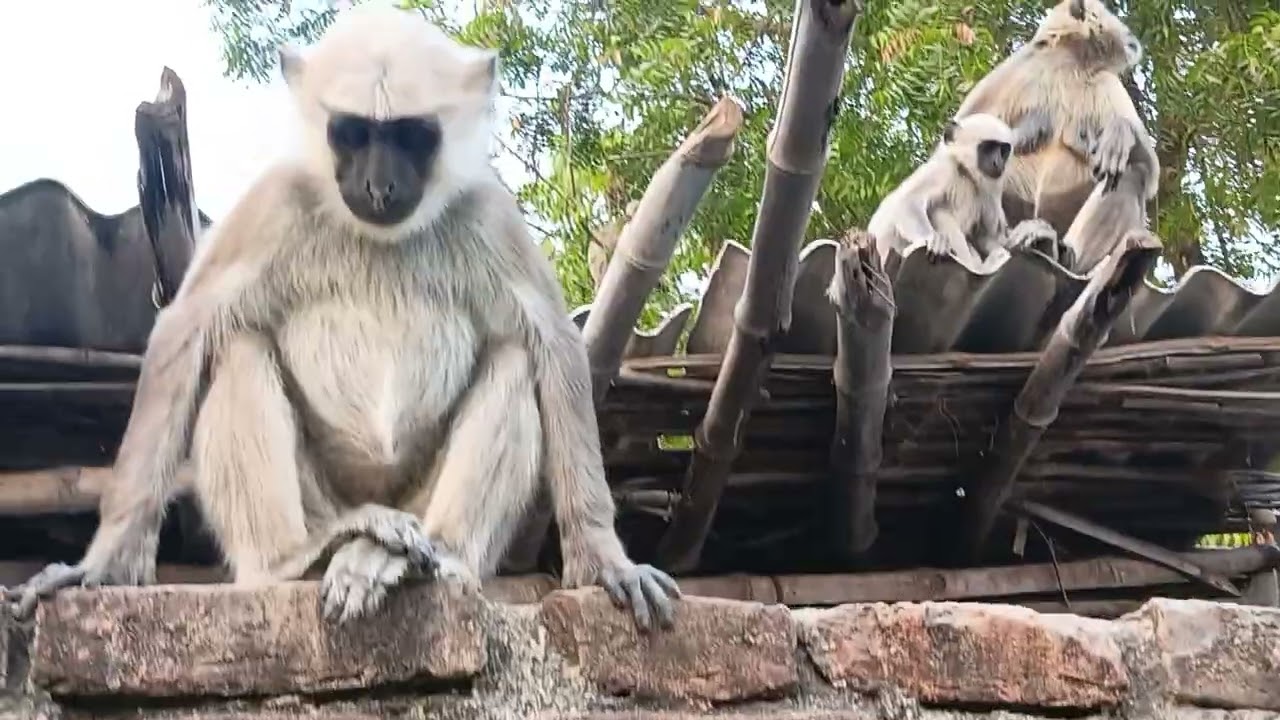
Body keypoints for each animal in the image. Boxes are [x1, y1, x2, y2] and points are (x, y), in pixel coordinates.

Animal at [5, 5, 680, 631]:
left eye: (409, 136)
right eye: (353, 133)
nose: (379, 186)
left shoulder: (488, 210)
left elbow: (555, 343)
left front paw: (603, 556)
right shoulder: (274, 199)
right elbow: (184, 329)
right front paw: (104, 562)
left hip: (418, 505)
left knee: (514, 361)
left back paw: (425, 560)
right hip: (321, 503)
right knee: (239, 347)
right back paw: (296, 562)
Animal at [868, 112, 1045, 274]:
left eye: (1003, 151)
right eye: (988, 148)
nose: (998, 163)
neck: (965, 173)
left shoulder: (988, 187)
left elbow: (989, 235)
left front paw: (1034, 231)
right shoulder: (945, 168)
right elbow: (907, 201)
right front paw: (933, 239)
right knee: (939, 212)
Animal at [952, 0, 1159, 274]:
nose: (1130, 35)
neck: (1071, 60)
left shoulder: (1105, 79)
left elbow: (1151, 169)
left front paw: (1119, 132)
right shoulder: (1022, 65)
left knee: (1131, 173)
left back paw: (1066, 256)